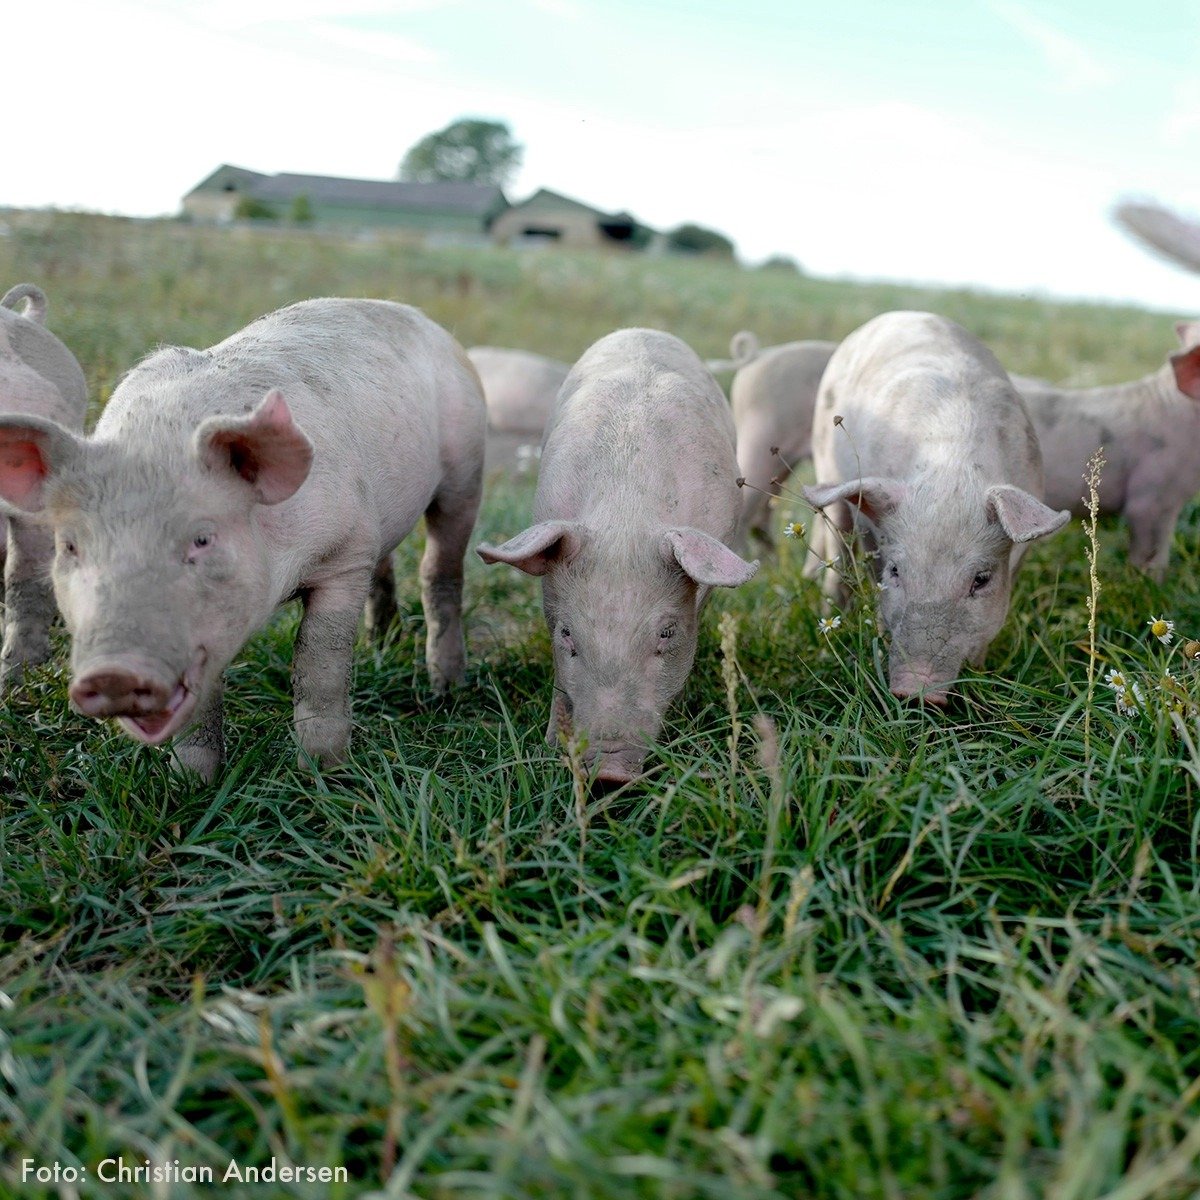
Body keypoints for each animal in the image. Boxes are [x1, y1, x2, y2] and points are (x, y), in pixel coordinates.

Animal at [0, 300, 482, 777]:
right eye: (70, 546)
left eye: (202, 539)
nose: (114, 673)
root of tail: (420, 318)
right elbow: (204, 698)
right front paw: (191, 782)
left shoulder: (346, 551)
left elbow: (319, 661)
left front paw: (324, 773)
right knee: (386, 564)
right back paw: (383, 642)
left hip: (463, 474)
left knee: (440, 569)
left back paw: (446, 689)